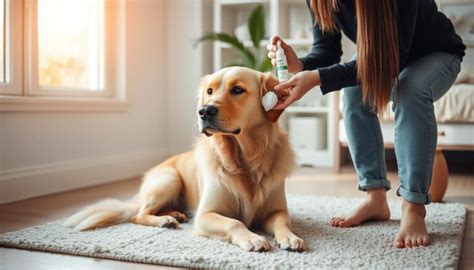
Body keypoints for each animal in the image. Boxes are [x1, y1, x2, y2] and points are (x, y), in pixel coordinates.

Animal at [64, 66, 308, 252]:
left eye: (237, 89)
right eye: (209, 91)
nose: (204, 111)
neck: (243, 158)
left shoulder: (275, 210)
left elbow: (282, 221)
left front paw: (289, 237)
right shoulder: (205, 215)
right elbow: (235, 223)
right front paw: (252, 237)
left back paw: (174, 214)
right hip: (169, 179)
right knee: (139, 215)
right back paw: (165, 220)